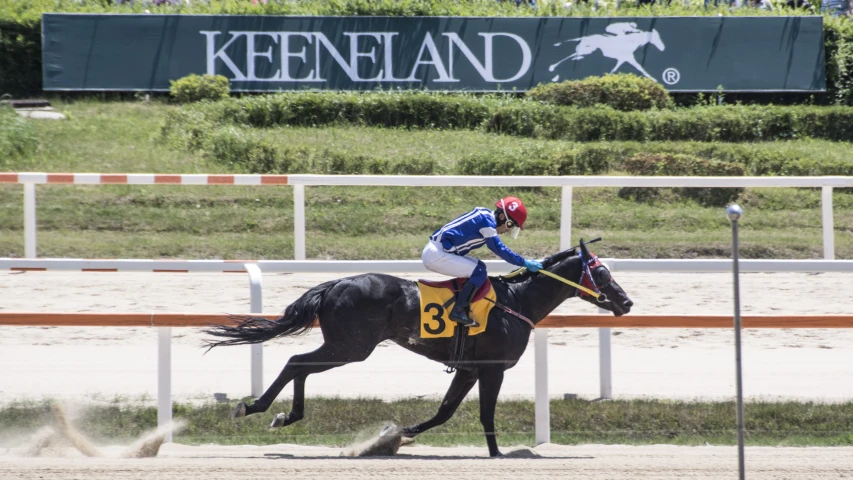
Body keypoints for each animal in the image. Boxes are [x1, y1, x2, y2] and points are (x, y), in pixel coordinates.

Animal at [205, 240, 632, 458]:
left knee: (301, 366)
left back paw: (285, 415)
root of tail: (335, 283)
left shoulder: (469, 369)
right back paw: (256, 407)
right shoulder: (493, 367)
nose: (626, 303)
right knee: (297, 362)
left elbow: (444, 412)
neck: (517, 301)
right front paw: (497, 454)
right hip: (351, 345)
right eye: (602, 272)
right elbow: (485, 414)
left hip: (345, 345)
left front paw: (397, 434)